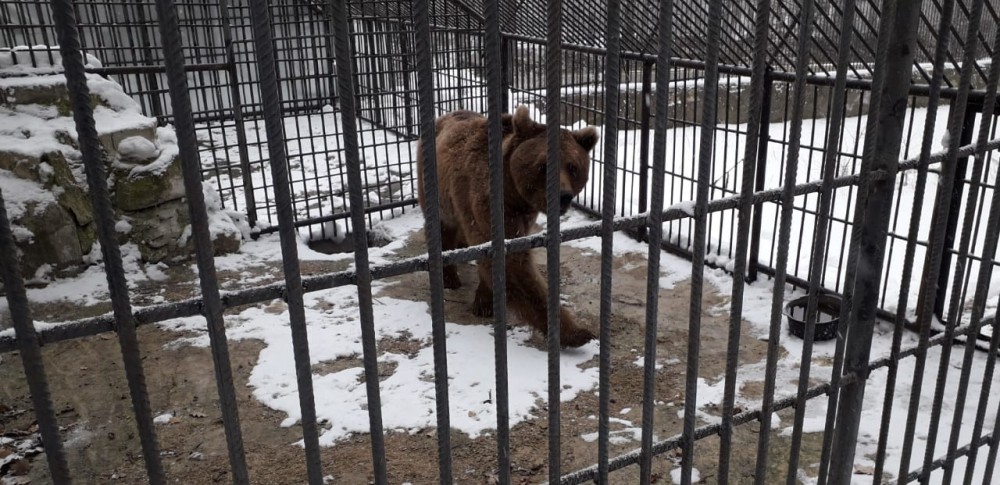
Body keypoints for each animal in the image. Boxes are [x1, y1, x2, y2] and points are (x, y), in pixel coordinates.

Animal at [416, 106, 596, 348]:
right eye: (542, 165)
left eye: (573, 167)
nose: (564, 196)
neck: (514, 194)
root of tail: (446, 114)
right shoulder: (487, 204)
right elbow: (513, 265)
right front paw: (576, 333)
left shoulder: (524, 216)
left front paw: (485, 300)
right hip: (435, 187)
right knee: (442, 227)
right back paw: (450, 276)